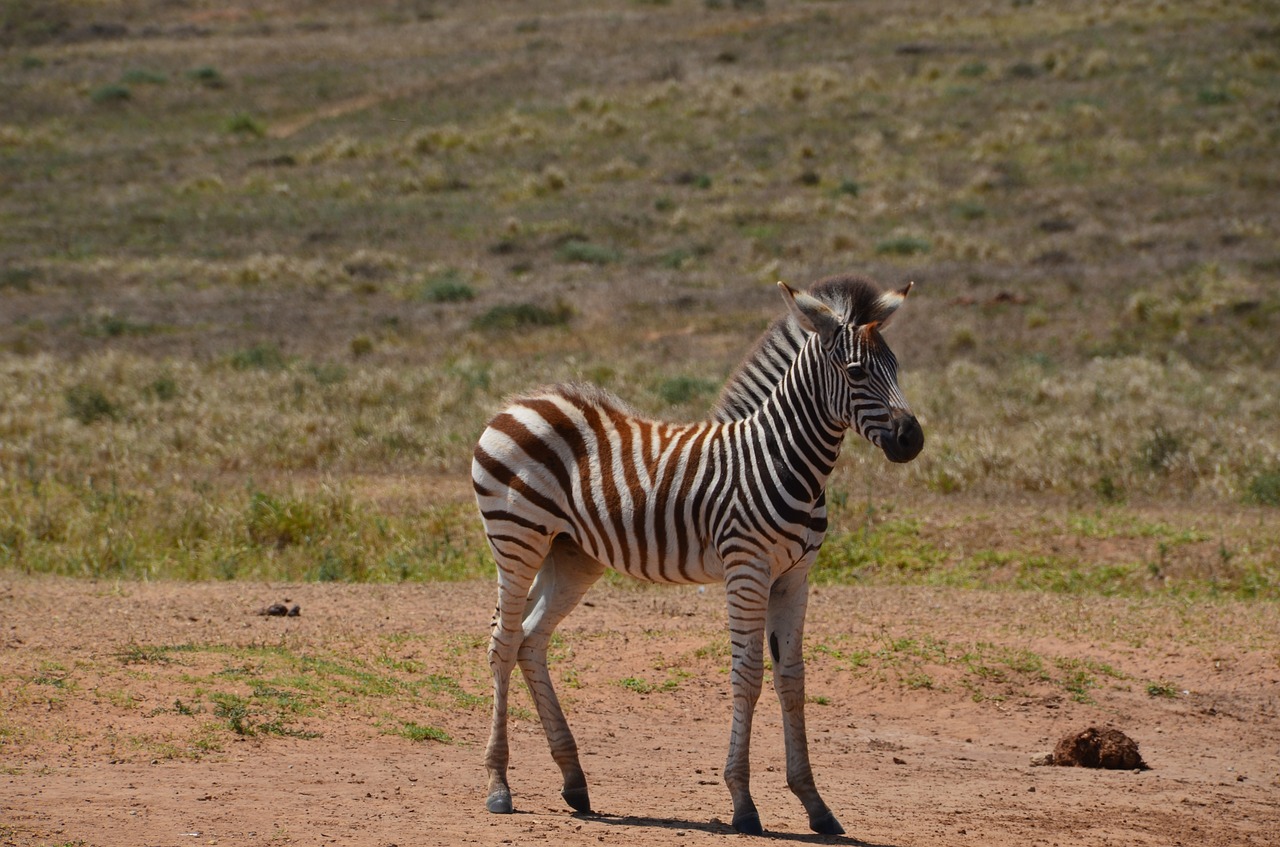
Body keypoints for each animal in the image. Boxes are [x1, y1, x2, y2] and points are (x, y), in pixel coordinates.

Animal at [471, 277, 921, 834]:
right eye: (857, 372)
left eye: (897, 367)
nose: (913, 439)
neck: (784, 460)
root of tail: (519, 402)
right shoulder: (746, 569)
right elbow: (748, 676)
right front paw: (743, 802)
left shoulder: (795, 577)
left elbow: (792, 680)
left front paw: (815, 804)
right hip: (517, 540)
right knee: (503, 643)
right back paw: (498, 786)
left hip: (571, 554)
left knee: (530, 641)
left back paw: (574, 781)